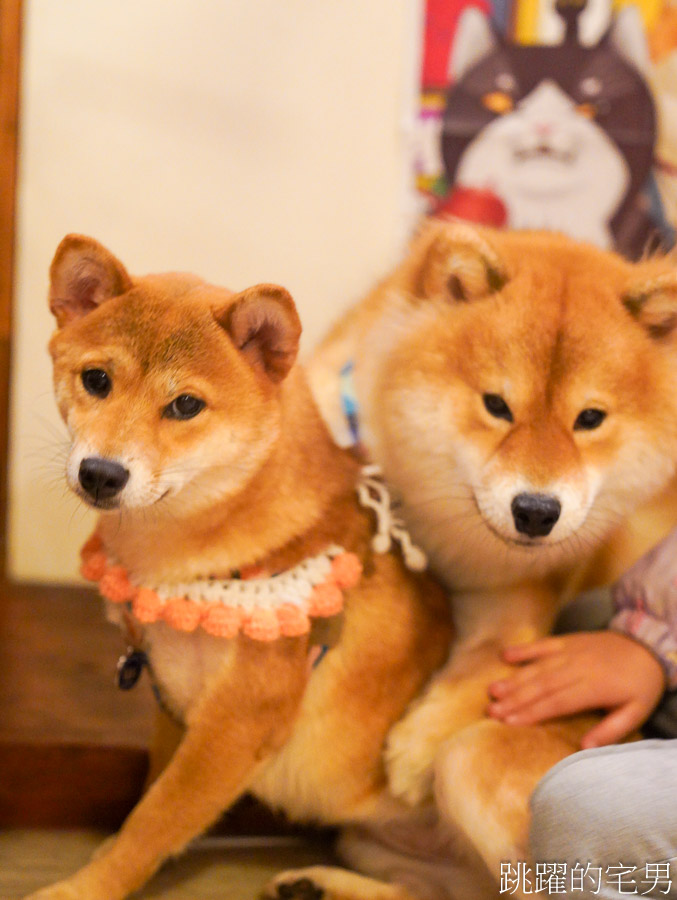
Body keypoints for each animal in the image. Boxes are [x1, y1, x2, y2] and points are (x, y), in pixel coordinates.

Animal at [310, 216, 677, 808]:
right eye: (497, 406)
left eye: (590, 418)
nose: (536, 511)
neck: (440, 532)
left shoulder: (515, 599)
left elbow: (490, 666)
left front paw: (416, 751)